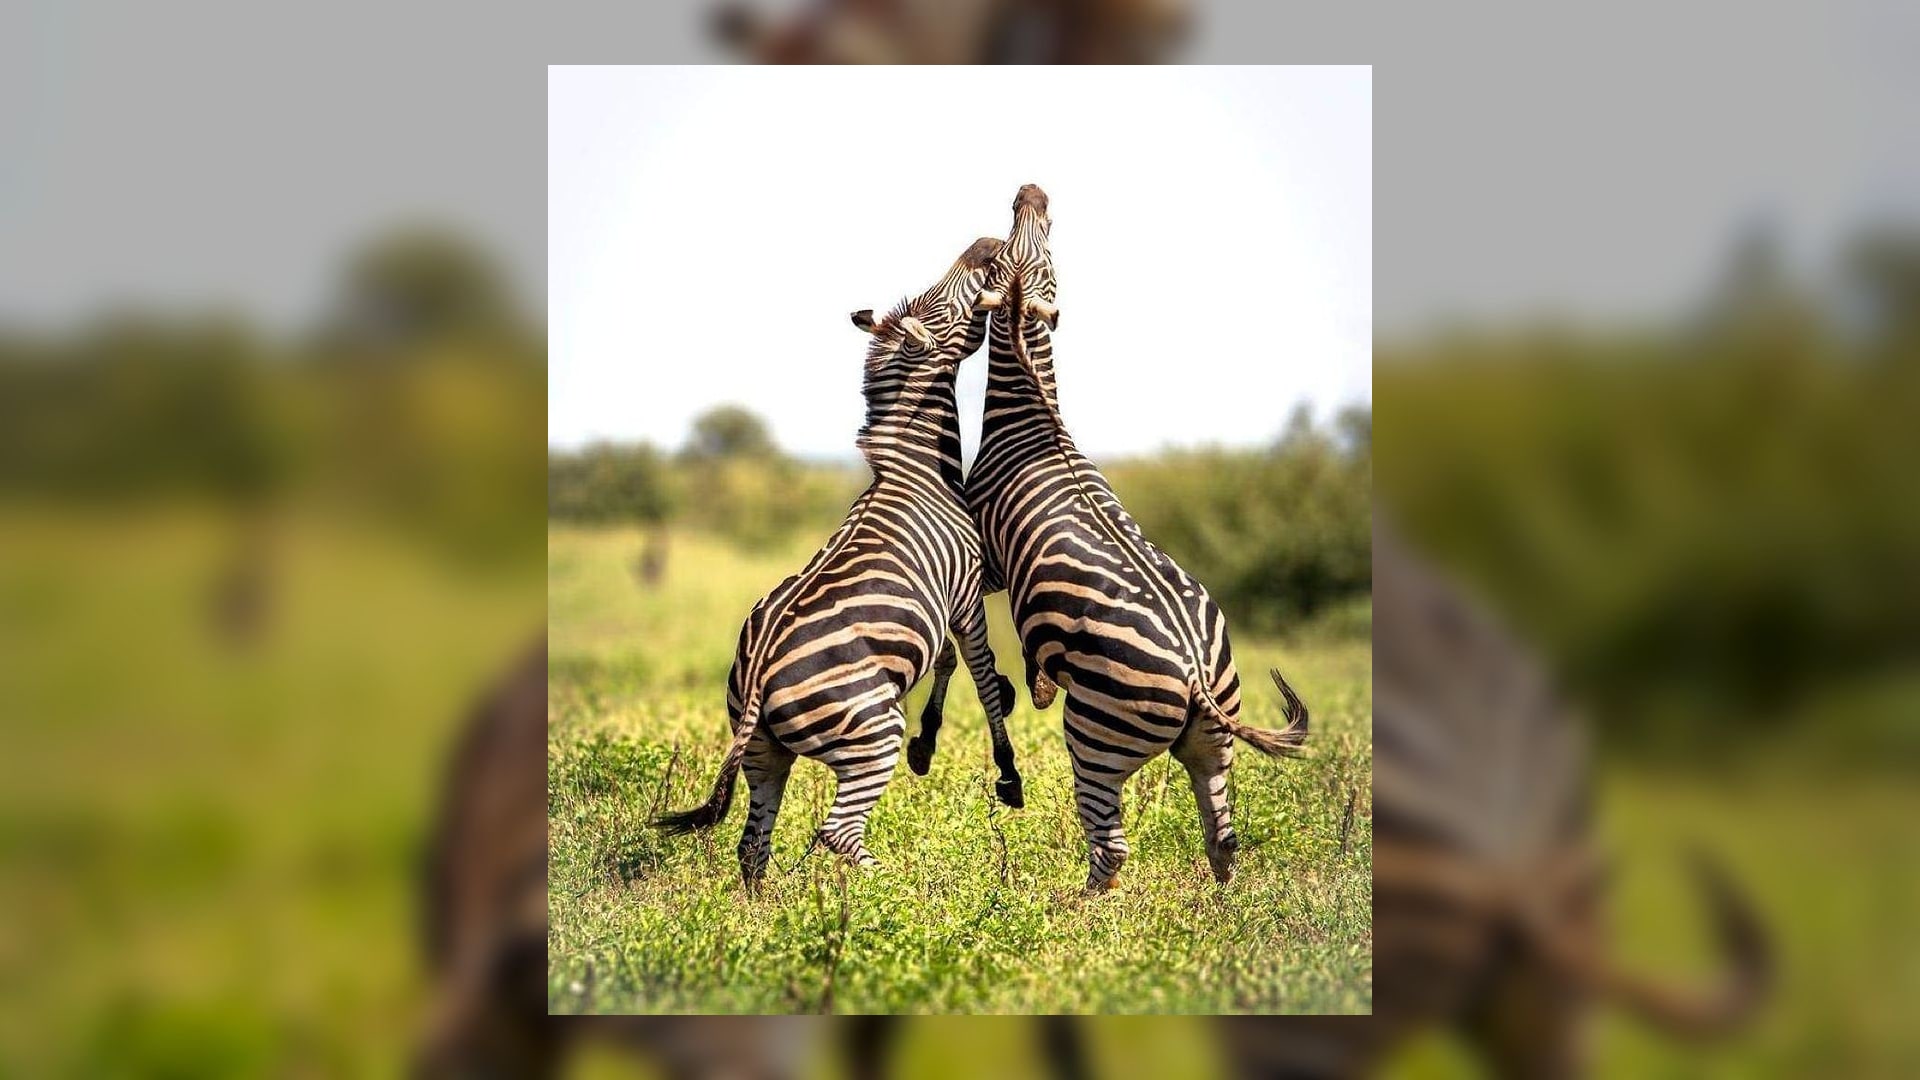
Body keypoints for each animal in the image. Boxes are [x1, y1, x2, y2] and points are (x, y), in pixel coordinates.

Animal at [655, 237, 1025, 887]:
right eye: (949, 302)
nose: (984, 245)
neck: (918, 469)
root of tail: (757, 674)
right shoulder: (965, 594)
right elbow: (977, 668)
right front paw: (1006, 766)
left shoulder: (942, 608)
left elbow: (948, 659)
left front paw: (931, 743)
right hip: (871, 732)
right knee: (836, 832)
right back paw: (904, 889)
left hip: (764, 752)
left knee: (752, 844)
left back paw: (765, 911)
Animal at [966, 184, 1310, 891]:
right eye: (1033, 235)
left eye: (1008, 249)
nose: (1032, 190)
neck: (1033, 419)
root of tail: (1198, 675)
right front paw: (1038, 683)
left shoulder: (991, 562)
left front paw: (1035, 687)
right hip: (1211, 743)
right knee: (1224, 836)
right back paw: (1223, 908)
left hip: (1094, 735)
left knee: (1111, 845)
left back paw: (1072, 912)